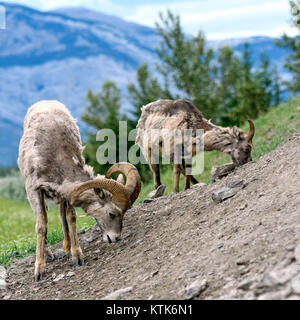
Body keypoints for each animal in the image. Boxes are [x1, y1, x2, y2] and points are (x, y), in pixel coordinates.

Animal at [18, 100, 141, 280]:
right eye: (112, 214)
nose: (116, 238)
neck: (56, 154)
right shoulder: (34, 189)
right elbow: (41, 225)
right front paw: (39, 271)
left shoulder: (67, 194)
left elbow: (71, 218)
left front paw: (77, 256)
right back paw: (48, 254)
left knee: (62, 214)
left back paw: (67, 247)